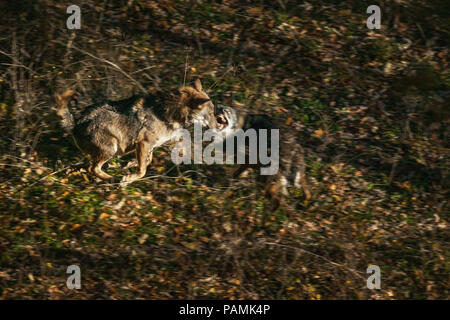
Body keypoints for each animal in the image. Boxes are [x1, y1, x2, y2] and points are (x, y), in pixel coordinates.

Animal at [56, 79, 218, 185]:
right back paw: (113, 179)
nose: (219, 125)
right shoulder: (143, 143)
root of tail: (76, 122)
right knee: (92, 168)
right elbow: (142, 171)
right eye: (211, 114)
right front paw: (127, 178)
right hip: (111, 148)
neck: (168, 112)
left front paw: (129, 165)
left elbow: (148, 161)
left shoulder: (149, 146)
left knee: (86, 167)